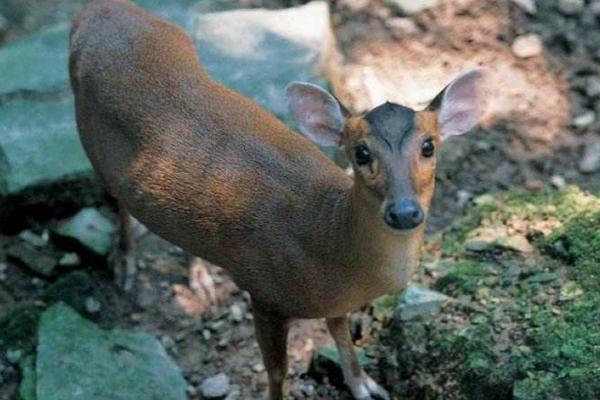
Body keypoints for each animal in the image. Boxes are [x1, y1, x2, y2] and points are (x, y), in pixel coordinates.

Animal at [68, 1, 486, 398]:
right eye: (361, 153)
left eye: (429, 146)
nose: (404, 212)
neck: (332, 246)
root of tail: (97, 10)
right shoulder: (265, 291)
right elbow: (277, 372)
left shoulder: (334, 301)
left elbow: (341, 334)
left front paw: (365, 385)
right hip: (90, 137)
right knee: (117, 197)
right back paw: (124, 261)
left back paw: (199, 277)